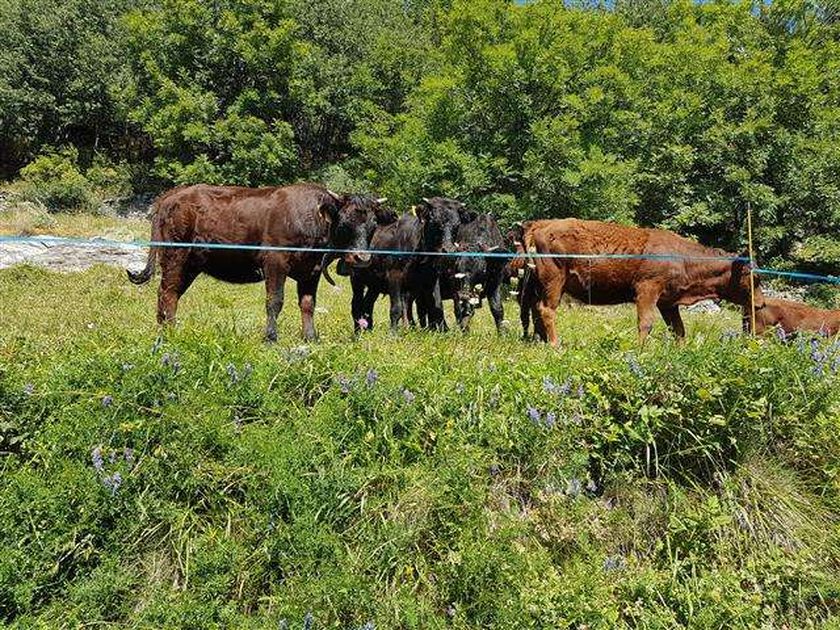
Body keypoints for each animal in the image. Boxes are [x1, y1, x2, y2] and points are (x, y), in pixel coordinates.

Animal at [127, 183, 392, 342]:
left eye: (373, 225)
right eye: (345, 223)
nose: (362, 258)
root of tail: (170, 196)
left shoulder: (311, 270)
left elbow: (308, 303)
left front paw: (310, 337)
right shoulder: (275, 261)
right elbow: (275, 301)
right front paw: (271, 337)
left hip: (190, 264)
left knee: (167, 292)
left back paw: (163, 328)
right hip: (176, 255)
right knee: (169, 292)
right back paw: (172, 330)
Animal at [520, 218, 763, 345]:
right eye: (755, 277)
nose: (761, 304)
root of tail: (542, 224)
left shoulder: (668, 302)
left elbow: (679, 329)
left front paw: (682, 351)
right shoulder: (647, 290)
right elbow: (645, 323)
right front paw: (640, 350)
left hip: (539, 285)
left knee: (534, 309)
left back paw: (540, 340)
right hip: (554, 281)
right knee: (547, 310)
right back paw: (555, 344)